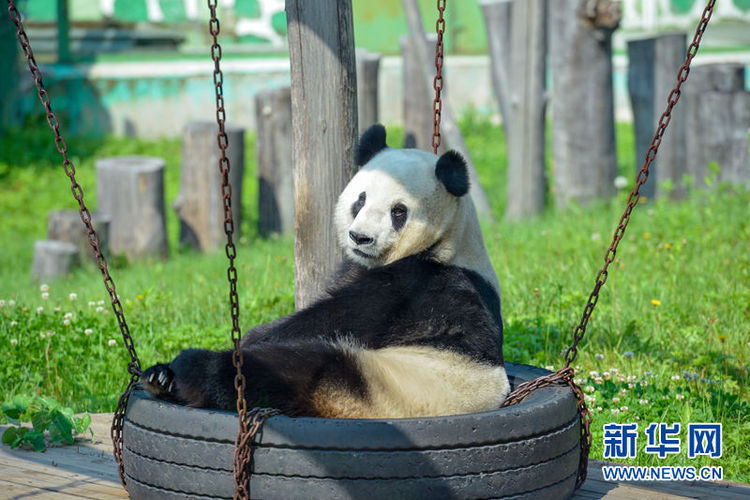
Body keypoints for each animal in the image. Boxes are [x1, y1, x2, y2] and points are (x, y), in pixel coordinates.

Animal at [142, 125, 512, 418]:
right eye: (360, 200)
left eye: (399, 211)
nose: (360, 237)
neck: (448, 241)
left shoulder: (415, 285)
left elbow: (337, 317)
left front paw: (252, 336)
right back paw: (159, 378)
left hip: (376, 384)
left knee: (288, 369)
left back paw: (189, 372)